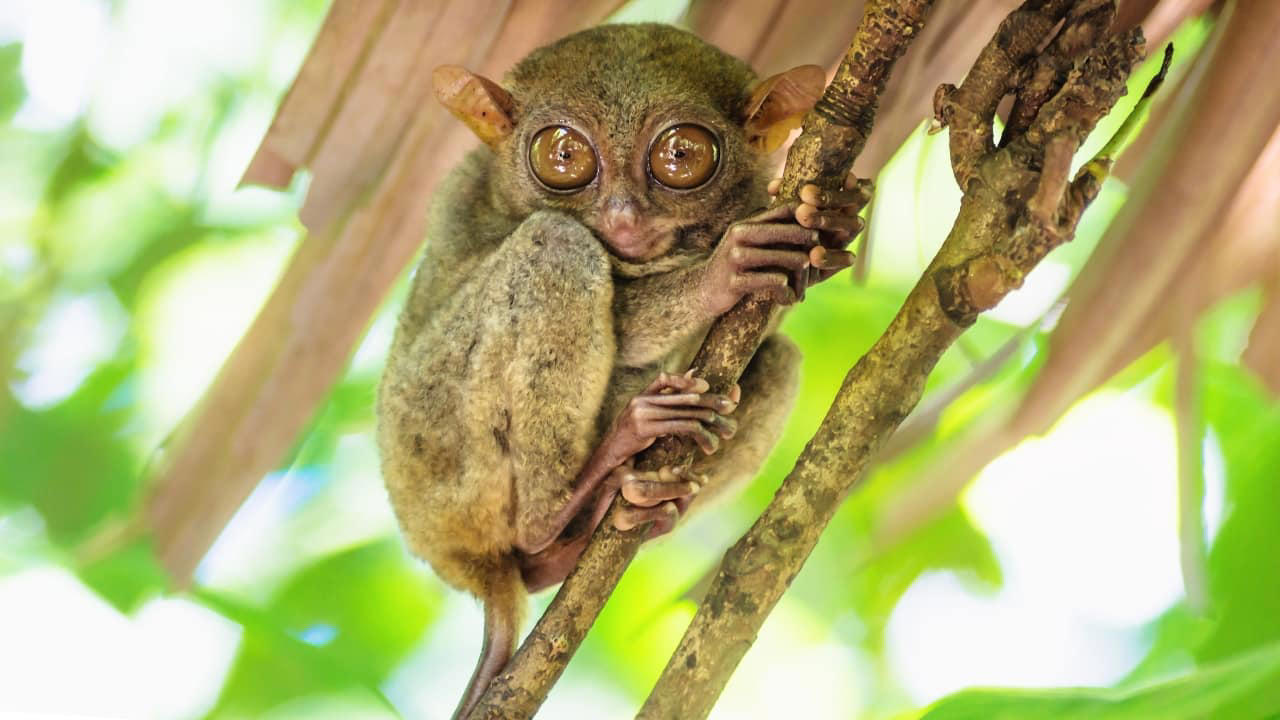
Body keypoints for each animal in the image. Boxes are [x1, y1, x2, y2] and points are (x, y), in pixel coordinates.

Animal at [376, 23, 866, 719]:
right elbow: (628, 315)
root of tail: (456, 562)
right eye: (563, 157)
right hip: (436, 446)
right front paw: (724, 270)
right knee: (555, 242)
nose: (623, 218)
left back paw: (597, 531)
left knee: (779, 359)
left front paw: (834, 223)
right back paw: (578, 492)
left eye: (682, 155)